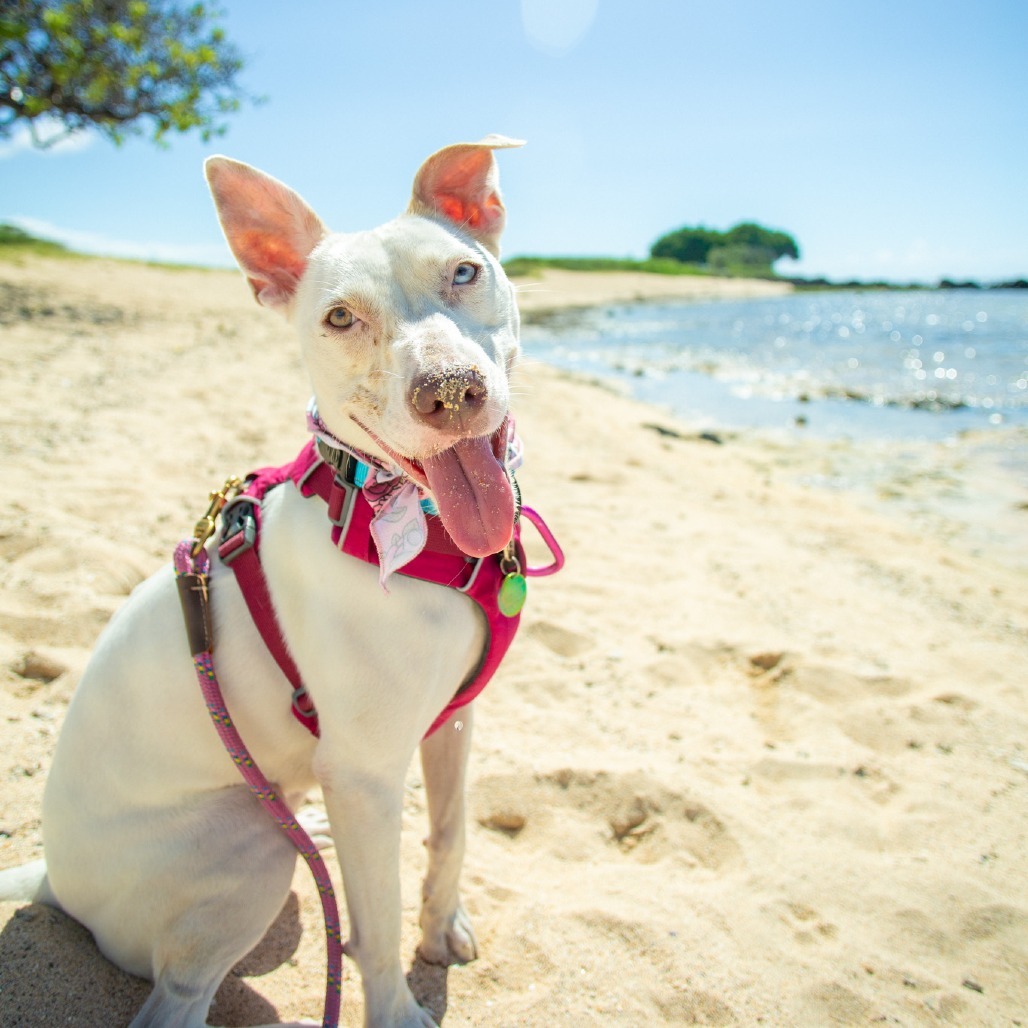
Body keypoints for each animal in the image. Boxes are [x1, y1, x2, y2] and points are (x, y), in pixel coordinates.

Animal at [2, 136, 538, 1028]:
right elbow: (377, 921)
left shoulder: (453, 722)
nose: (450, 392)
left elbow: (452, 833)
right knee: (176, 1000)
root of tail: (54, 880)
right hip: (244, 854)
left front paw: (442, 927)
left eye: (464, 272)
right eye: (339, 318)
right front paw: (396, 1008)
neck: (392, 516)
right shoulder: (364, 773)